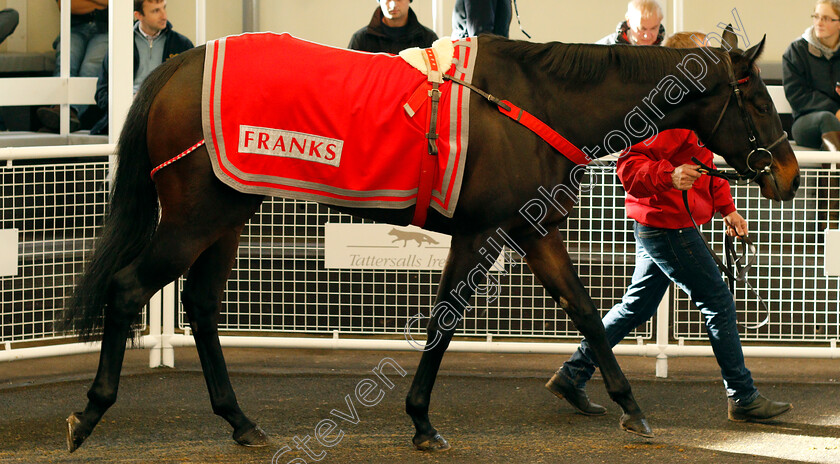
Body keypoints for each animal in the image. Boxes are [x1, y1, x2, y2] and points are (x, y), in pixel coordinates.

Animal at [62, 30, 796, 454]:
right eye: (759, 100)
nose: (788, 174)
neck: (533, 103)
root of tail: (177, 66)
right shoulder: (478, 232)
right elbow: (444, 321)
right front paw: (420, 420)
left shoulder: (534, 231)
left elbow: (587, 312)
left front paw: (631, 409)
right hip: (196, 214)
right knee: (128, 288)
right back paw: (89, 413)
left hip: (230, 210)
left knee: (202, 306)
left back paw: (239, 421)